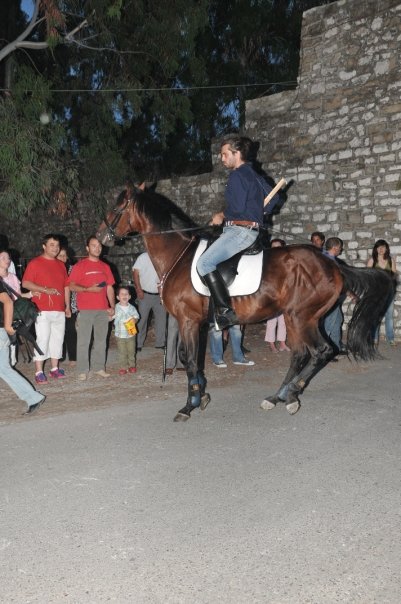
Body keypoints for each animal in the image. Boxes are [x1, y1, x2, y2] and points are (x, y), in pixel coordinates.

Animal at [96, 188, 394, 420]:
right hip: (295, 317)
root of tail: (332, 264)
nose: (100, 237)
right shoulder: (190, 322)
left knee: (320, 351)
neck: (177, 255)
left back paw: (291, 395)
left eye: (116, 207)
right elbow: (188, 359)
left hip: (301, 316)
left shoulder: (188, 321)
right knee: (300, 354)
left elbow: (190, 360)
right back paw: (277, 397)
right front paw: (201, 396)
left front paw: (189, 405)